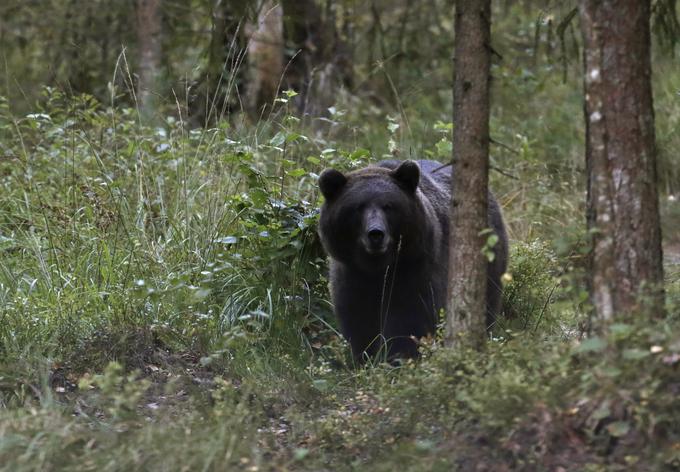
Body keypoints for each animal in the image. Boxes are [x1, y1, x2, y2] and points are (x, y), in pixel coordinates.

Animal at [318, 159, 504, 362]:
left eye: (388, 206)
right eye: (358, 207)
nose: (375, 234)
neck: (378, 268)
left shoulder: (416, 270)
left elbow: (409, 319)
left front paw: (399, 356)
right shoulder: (351, 275)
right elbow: (359, 320)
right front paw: (365, 357)